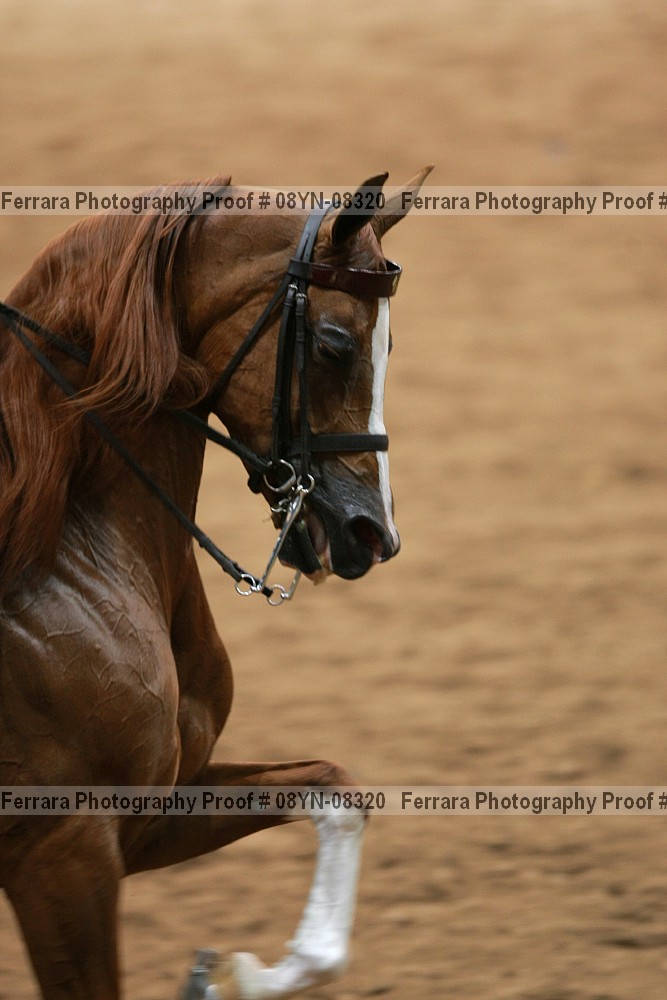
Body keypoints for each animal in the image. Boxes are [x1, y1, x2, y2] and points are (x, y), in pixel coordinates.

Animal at [0, 165, 432, 1000]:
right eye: (333, 344)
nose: (375, 533)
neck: (59, 550)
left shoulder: (150, 813)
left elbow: (336, 790)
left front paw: (233, 976)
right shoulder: (62, 852)